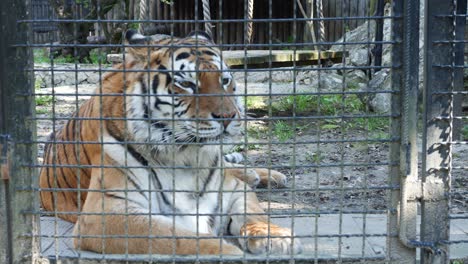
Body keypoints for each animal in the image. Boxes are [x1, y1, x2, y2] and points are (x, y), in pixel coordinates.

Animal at [40, 29, 304, 256]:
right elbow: (175, 236)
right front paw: (229, 252)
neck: (187, 156)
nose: (229, 116)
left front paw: (277, 238)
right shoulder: (104, 212)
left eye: (224, 80)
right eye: (186, 84)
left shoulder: (233, 188)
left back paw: (265, 175)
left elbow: (255, 214)